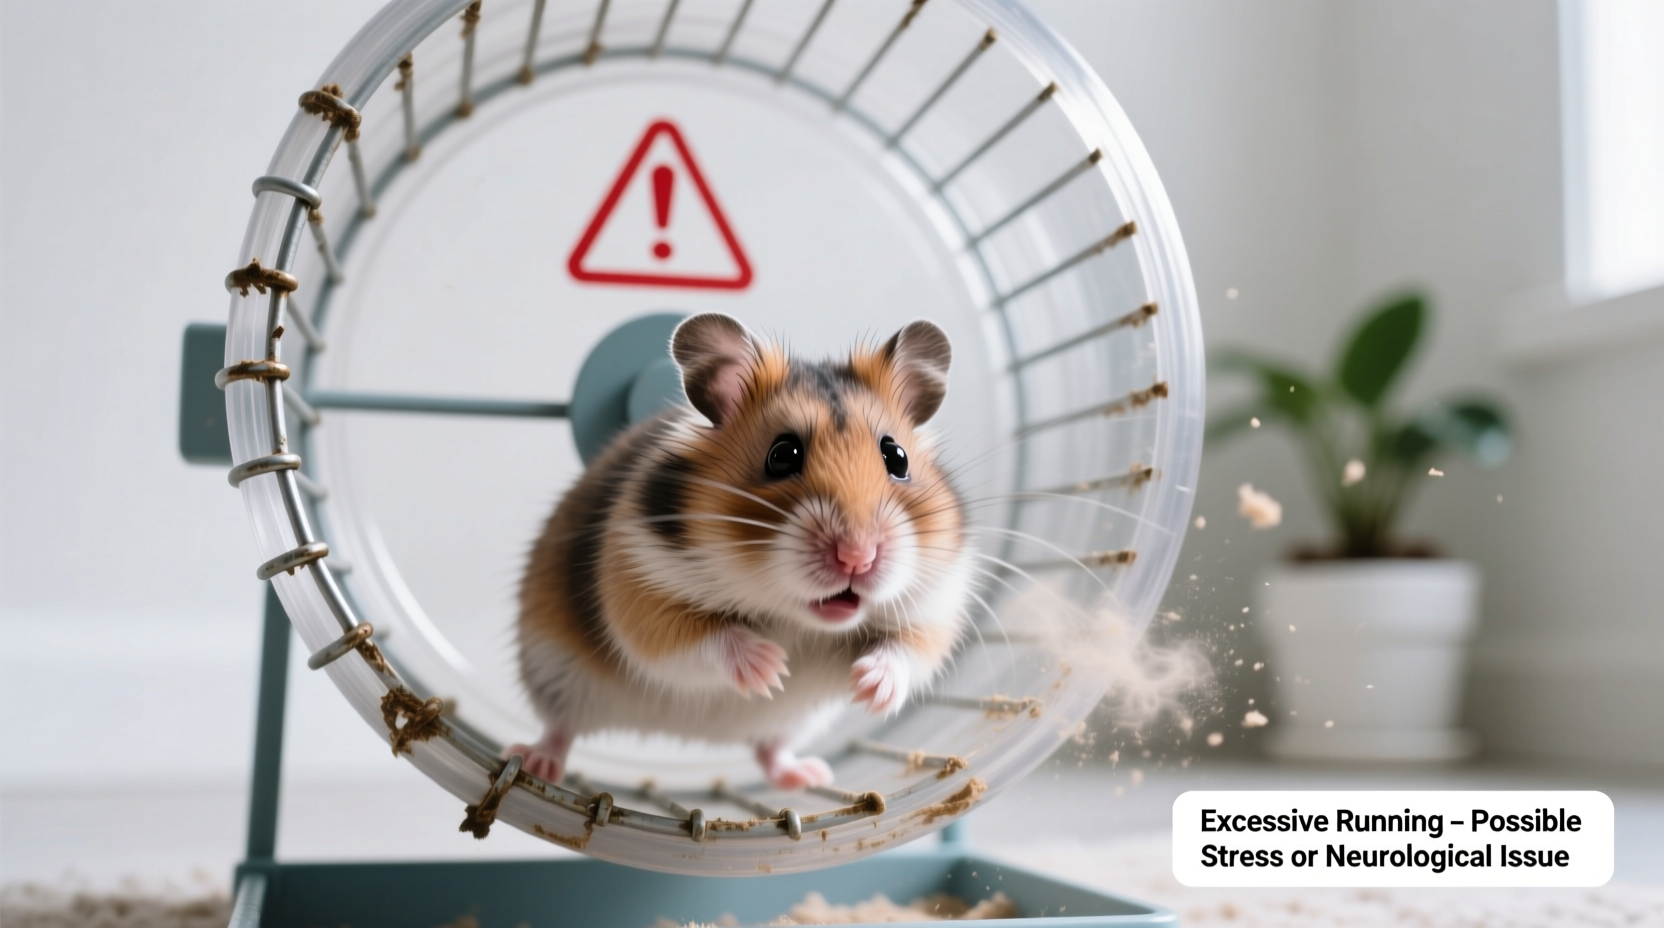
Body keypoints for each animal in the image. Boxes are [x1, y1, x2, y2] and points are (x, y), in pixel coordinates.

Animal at [506, 313, 974, 790]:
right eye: (782, 455)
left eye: (897, 457)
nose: (857, 557)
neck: (793, 615)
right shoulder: (637, 585)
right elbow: (697, 636)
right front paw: (771, 667)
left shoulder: (936, 605)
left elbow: (910, 651)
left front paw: (868, 688)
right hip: (556, 676)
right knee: (560, 728)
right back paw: (534, 762)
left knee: (769, 750)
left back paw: (807, 776)